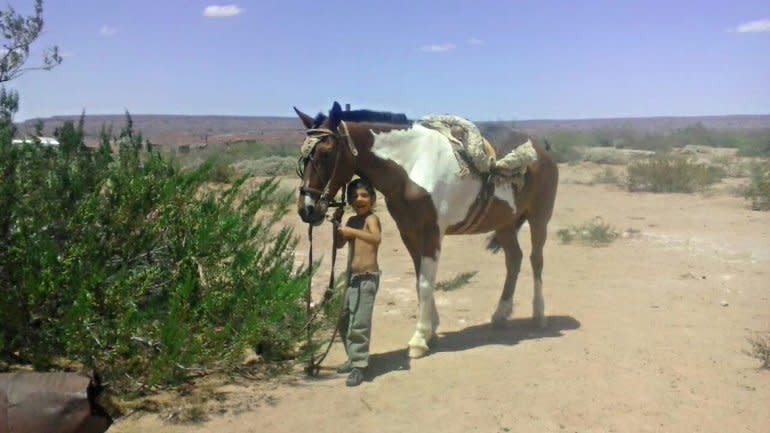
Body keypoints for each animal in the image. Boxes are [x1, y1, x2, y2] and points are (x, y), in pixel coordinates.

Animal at [296, 101, 560, 358]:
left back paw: (539, 315)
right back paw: (500, 315)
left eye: (326, 153)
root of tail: (542, 151)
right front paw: (431, 330)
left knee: (536, 259)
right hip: (504, 223)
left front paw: (419, 339)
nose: (307, 209)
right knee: (514, 259)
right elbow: (419, 279)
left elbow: (425, 282)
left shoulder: (432, 232)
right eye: (303, 157)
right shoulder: (408, 232)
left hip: (539, 218)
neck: (412, 165)